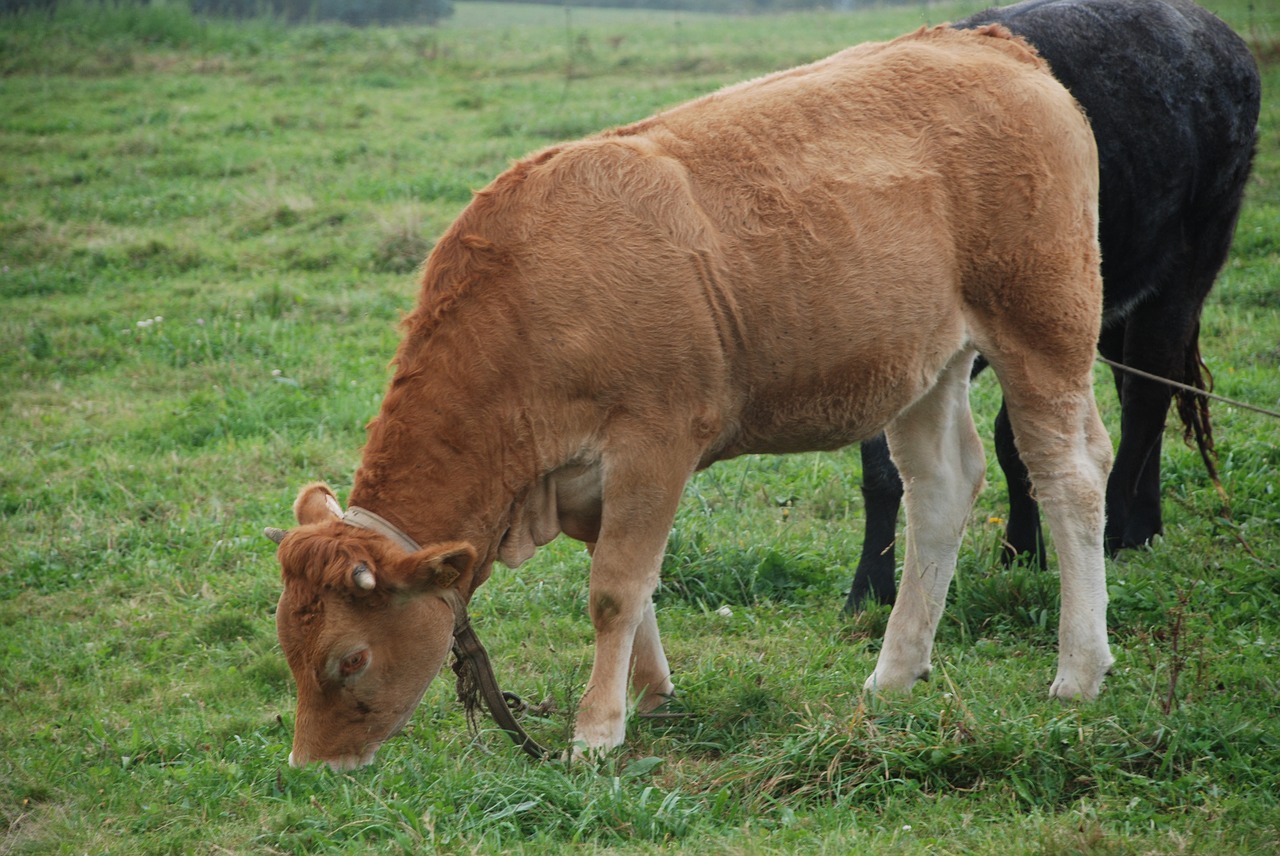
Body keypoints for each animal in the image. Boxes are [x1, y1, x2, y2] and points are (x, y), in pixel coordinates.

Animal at [267, 25, 1111, 767]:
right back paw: (895, 672)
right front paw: (652, 695)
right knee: (941, 487)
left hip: (1043, 322)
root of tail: (989, 43)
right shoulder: (589, 481)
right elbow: (634, 586)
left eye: (349, 658)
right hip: (926, 365)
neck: (528, 300)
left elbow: (615, 589)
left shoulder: (654, 442)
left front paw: (594, 733)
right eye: (287, 647)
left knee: (1068, 475)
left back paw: (1078, 671)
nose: (312, 767)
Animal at [839, 0, 1259, 611]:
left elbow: (1012, 440)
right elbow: (887, 467)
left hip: (1188, 267)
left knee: (1146, 399)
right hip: (1111, 302)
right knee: (1139, 390)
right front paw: (871, 590)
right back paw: (1145, 527)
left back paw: (1116, 534)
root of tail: (1217, 34)